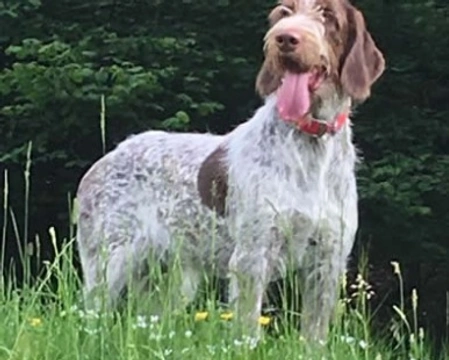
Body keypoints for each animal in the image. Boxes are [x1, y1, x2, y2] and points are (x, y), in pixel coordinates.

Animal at [75, 0, 384, 342]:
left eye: (328, 15)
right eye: (284, 13)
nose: (285, 38)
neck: (310, 143)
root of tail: (105, 160)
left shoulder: (328, 261)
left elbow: (314, 337)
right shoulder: (252, 256)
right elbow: (247, 331)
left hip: (172, 280)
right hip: (109, 262)